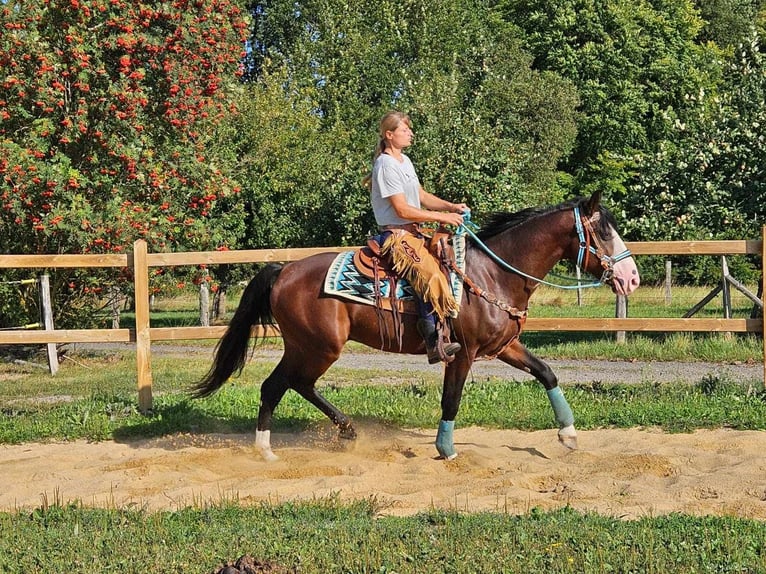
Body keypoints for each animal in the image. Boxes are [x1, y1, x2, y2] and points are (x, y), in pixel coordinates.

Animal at [194, 191, 640, 462]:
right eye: (603, 231)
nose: (632, 277)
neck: (494, 273)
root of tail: (283, 270)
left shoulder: (503, 346)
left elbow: (547, 373)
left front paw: (568, 434)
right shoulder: (464, 353)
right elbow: (451, 400)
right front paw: (446, 449)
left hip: (311, 348)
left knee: (298, 385)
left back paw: (347, 431)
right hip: (317, 347)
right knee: (277, 386)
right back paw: (266, 450)